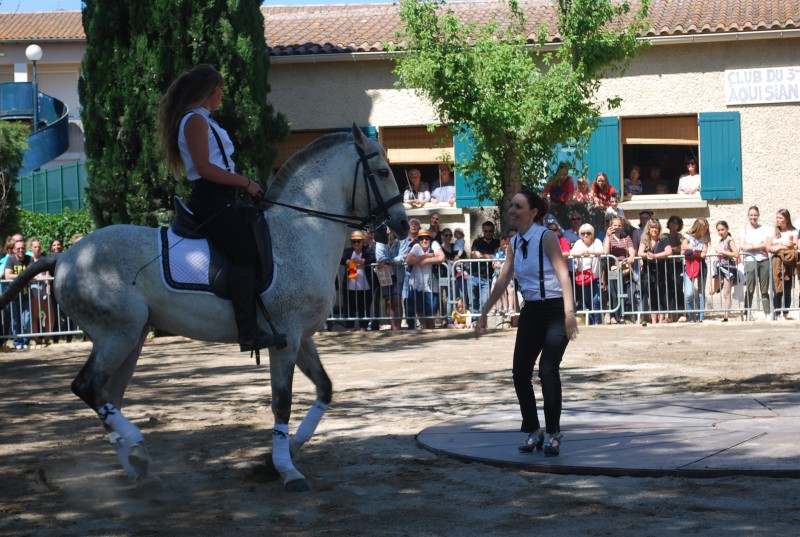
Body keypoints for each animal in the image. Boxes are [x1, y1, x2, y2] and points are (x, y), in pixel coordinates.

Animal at [1, 124, 406, 490]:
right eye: (383, 172)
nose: (401, 225)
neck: (301, 232)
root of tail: (64, 257)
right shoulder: (286, 339)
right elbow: (282, 403)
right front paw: (287, 470)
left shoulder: (301, 337)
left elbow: (324, 390)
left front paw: (279, 457)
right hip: (117, 335)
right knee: (87, 387)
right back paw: (137, 447)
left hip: (131, 338)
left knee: (107, 394)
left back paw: (137, 466)